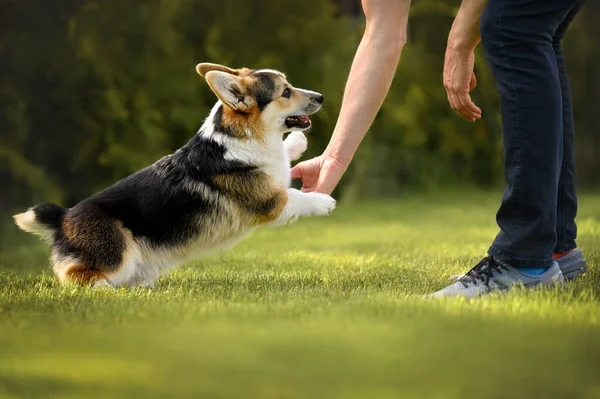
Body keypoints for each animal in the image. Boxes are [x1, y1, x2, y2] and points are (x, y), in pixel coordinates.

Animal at [14, 61, 336, 288]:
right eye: (286, 92)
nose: (321, 97)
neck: (244, 134)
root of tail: (64, 217)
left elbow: (285, 161)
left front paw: (296, 143)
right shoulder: (270, 201)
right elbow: (295, 195)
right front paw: (323, 202)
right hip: (117, 252)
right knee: (77, 276)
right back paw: (104, 290)